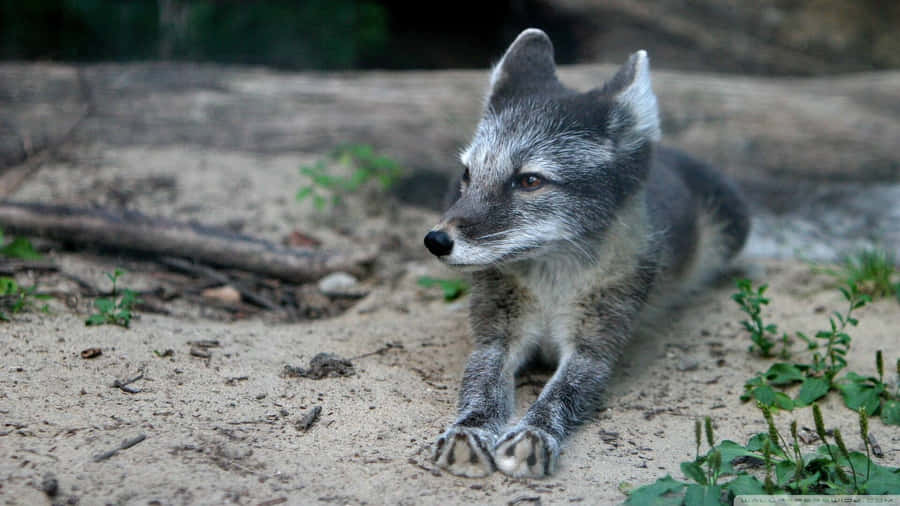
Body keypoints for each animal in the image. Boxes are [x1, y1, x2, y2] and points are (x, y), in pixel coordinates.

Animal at [422, 28, 750, 478]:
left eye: (530, 180)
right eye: (467, 175)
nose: (436, 241)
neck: (552, 285)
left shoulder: (595, 350)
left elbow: (561, 394)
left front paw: (534, 433)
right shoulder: (495, 339)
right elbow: (480, 387)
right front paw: (469, 430)